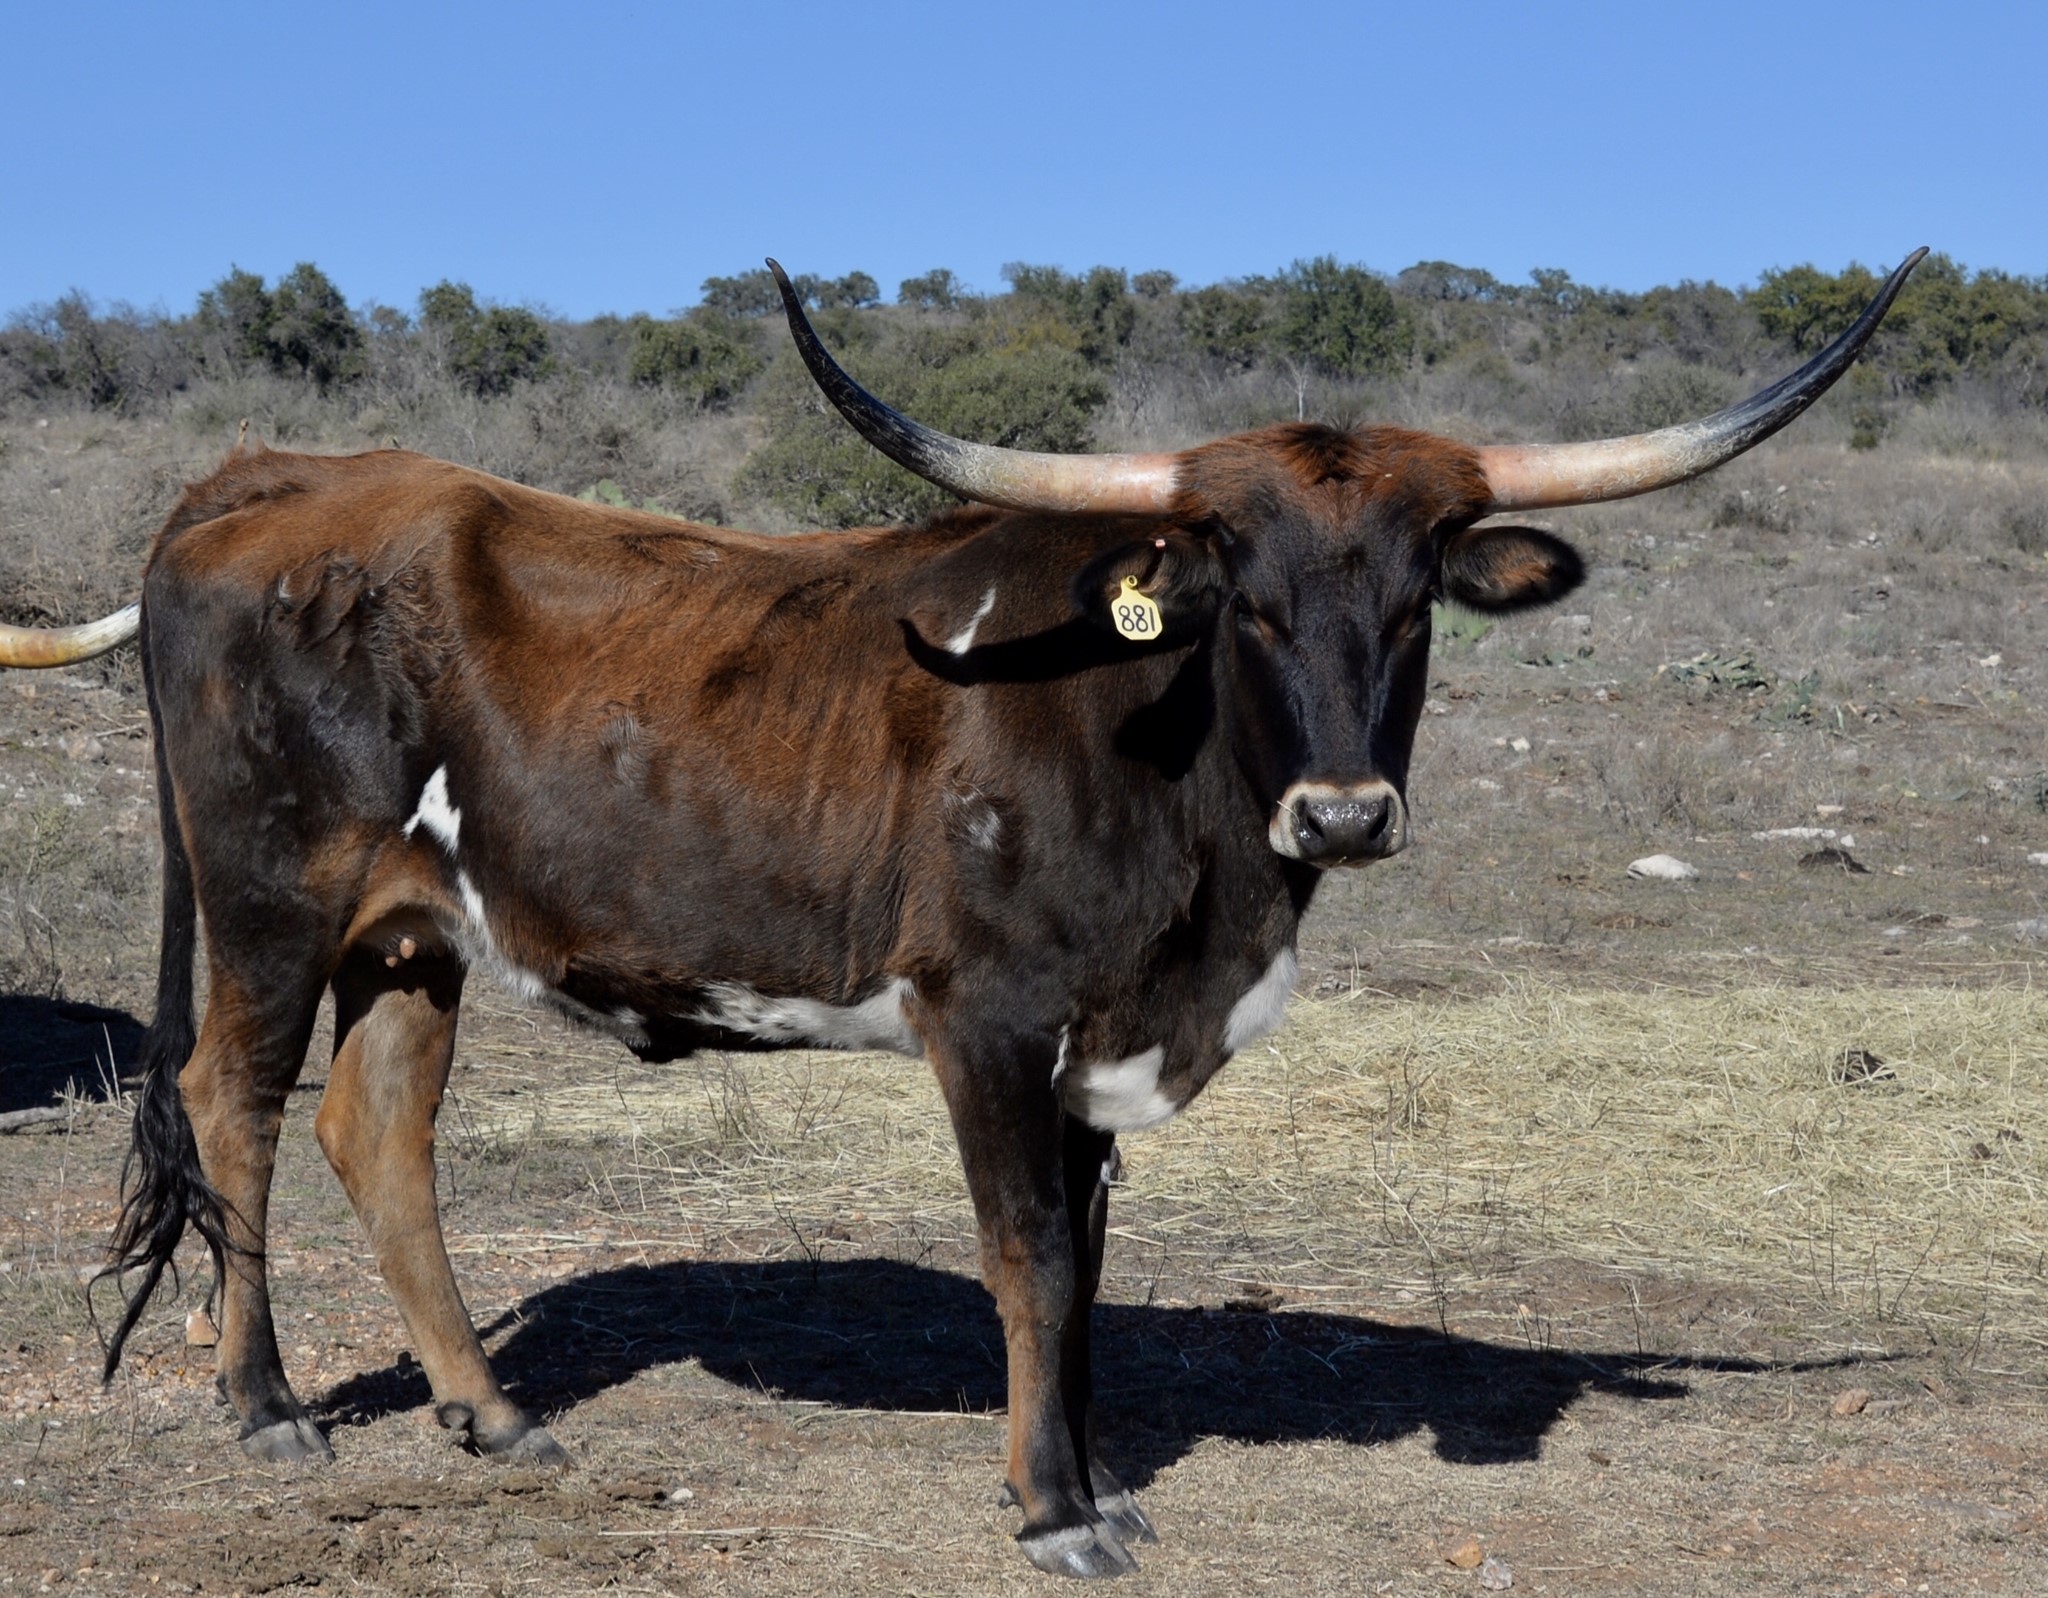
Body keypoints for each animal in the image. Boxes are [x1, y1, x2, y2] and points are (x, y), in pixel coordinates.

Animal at [2, 249, 1921, 1578]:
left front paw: (1088, 1468)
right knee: (233, 1106)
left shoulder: (1098, 1043)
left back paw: (491, 1410)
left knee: (374, 1126)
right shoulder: (988, 1017)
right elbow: (1030, 1256)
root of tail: (257, 479)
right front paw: (1051, 1506)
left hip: (416, 931)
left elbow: (1087, 1267)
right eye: (1248, 601)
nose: (1345, 810)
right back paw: (265, 1408)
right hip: (274, 893)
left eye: (1415, 605)